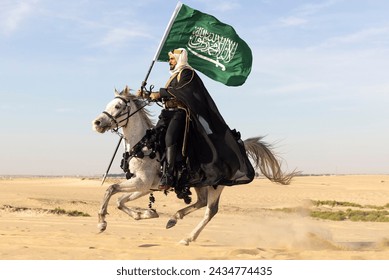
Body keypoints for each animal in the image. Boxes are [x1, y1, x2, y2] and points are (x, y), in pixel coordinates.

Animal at [91, 86, 298, 245]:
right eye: (108, 105)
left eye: (118, 106)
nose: (97, 123)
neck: (144, 144)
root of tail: (239, 146)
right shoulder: (144, 186)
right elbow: (120, 201)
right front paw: (146, 214)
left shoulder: (142, 182)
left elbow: (110, 189)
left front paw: (101, 222)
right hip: (200, 183)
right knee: (201, 202)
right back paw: (174, 218)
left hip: (217, 185)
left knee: (210, 210)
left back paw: (187, 237)